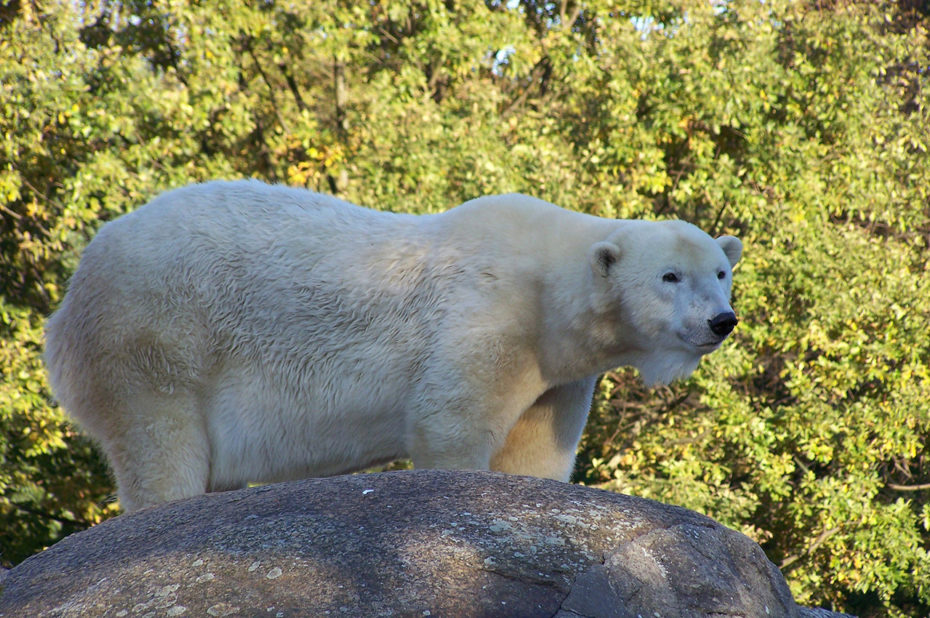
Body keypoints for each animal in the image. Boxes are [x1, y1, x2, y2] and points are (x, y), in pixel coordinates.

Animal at [43, 178, 740, 510]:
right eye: (670, 276)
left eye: (721, 271)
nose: (722, 321)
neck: (548, 285)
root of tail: (65, 308)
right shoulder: (489, 314)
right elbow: (450, 423)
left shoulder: (556, 369)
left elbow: (537, 452)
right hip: (154, 329)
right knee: (161, 439)